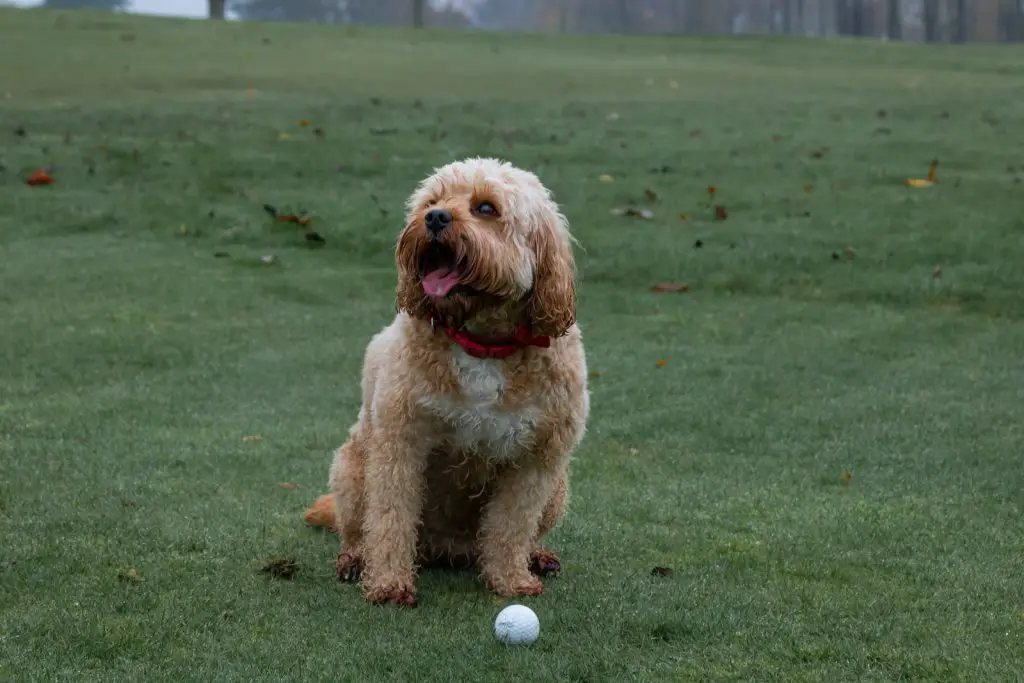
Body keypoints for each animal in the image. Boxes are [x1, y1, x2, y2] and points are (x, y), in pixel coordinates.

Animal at [303, 157, 589, 606]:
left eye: (486, 208)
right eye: (432, 200)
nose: (435, 218)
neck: (483, 342)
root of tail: (448, 550)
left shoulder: (538, 459)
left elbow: (512, 525)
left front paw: (510, 579)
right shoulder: (400, 443)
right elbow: (391, 518)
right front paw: (389, 584)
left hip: (557, 491)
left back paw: (537, 556)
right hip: (351, 470)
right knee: (358, 528)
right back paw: (355, 559)